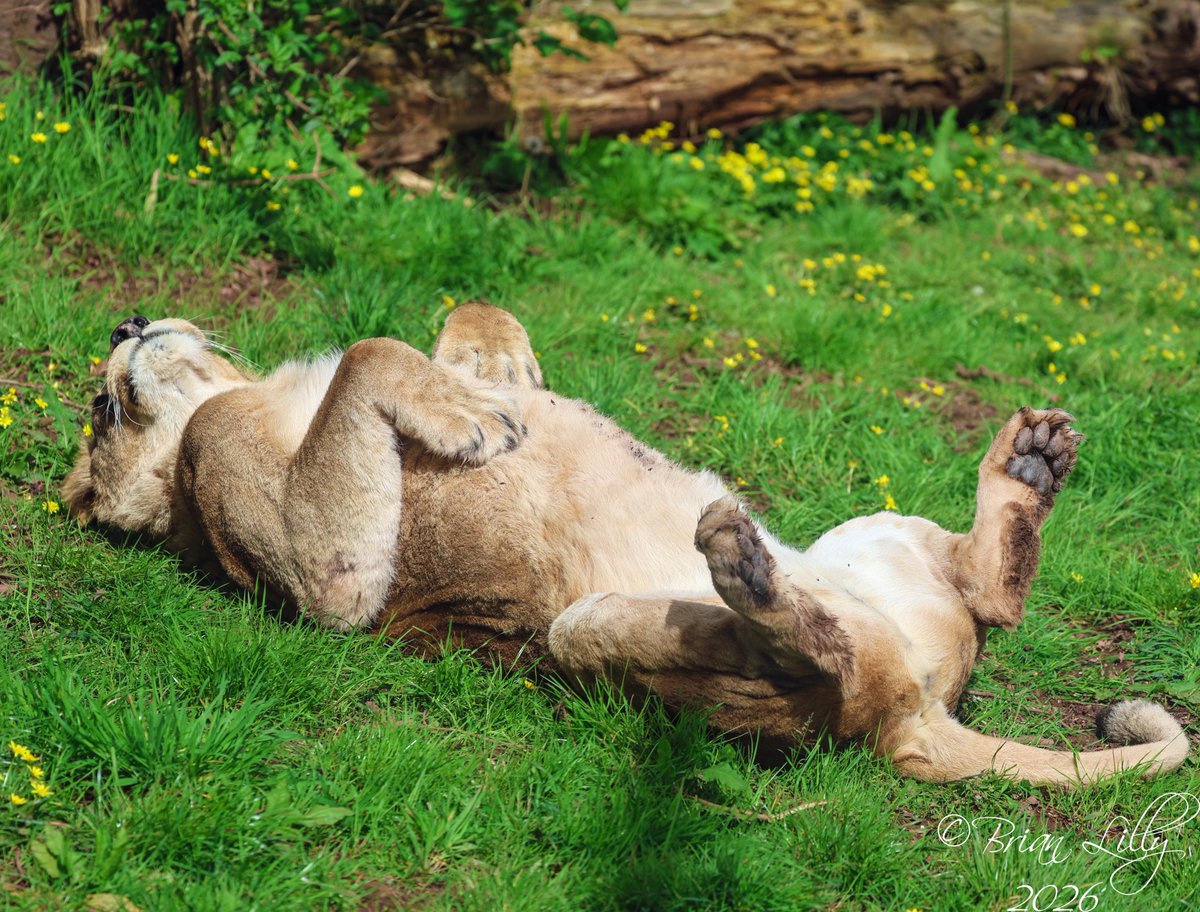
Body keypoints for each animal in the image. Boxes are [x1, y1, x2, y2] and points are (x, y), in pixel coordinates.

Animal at [61, 304, 1188, 787]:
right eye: (99, 412)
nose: (124, 321)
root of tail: (919, 719)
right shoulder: (321, 573)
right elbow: (373, 359)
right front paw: (477, 420)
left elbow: (450, 321)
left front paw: (493, 379)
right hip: (581, 633)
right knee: (831, 670)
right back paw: (743, 569)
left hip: (874, 532)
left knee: (991, 598)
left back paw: (1030, 465)